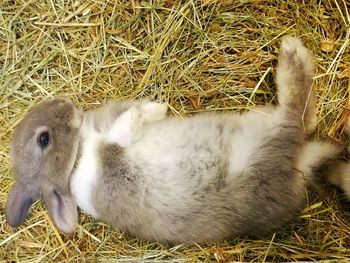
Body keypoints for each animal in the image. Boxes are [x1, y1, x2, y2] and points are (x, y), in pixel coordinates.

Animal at [4, 36, 344, 244]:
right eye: (44, 139)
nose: (67, 105)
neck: (81, 153)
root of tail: (301, 160)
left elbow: (128, 118)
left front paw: (156, 109)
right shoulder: (110, 161)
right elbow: (120, 134)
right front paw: (149, 112)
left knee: (304, 118)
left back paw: (292, 54)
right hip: (266, 140)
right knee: (297, 115)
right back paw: (293, 54)